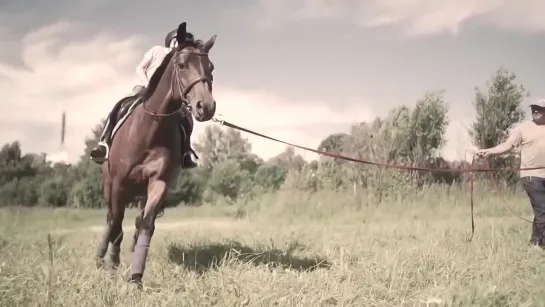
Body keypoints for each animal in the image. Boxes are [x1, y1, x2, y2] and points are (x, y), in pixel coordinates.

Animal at [94, 22, 216, 288]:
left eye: (210, 67)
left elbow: (146, 226)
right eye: (182, 65)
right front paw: (112, 264)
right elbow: (116, 225)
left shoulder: (159, 183)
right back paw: (100, 258)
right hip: (109, 184)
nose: (206, 107)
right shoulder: (118, 184)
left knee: (136, 222)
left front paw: (136, 277)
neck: (150, 130)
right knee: (110, 220)